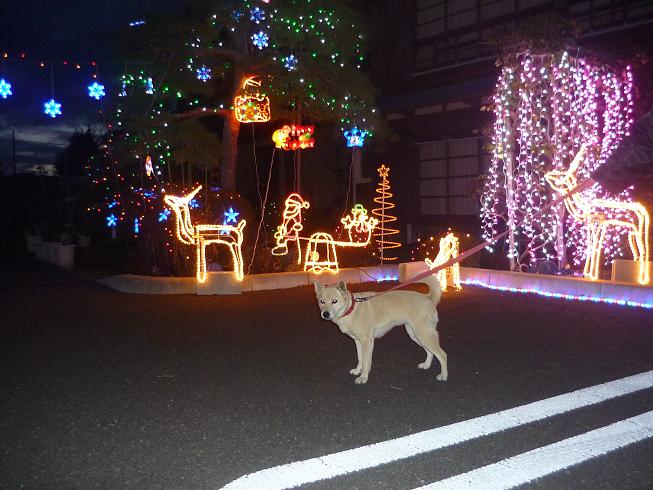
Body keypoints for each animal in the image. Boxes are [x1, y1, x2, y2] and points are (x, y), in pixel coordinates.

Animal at [314, 276, 446, 382]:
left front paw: (363, 377)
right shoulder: (358, 341)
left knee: (442, 355)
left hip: (423, 334)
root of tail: (427, 297)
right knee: (430, 352)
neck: (351, 309)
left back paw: (443, 376)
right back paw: (426, 365)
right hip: (415, 335)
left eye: (334, 301)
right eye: (322, 301)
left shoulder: (366, 341)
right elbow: (361, 358)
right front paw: (358, 370)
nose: (325, 314)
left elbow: (365, 361)